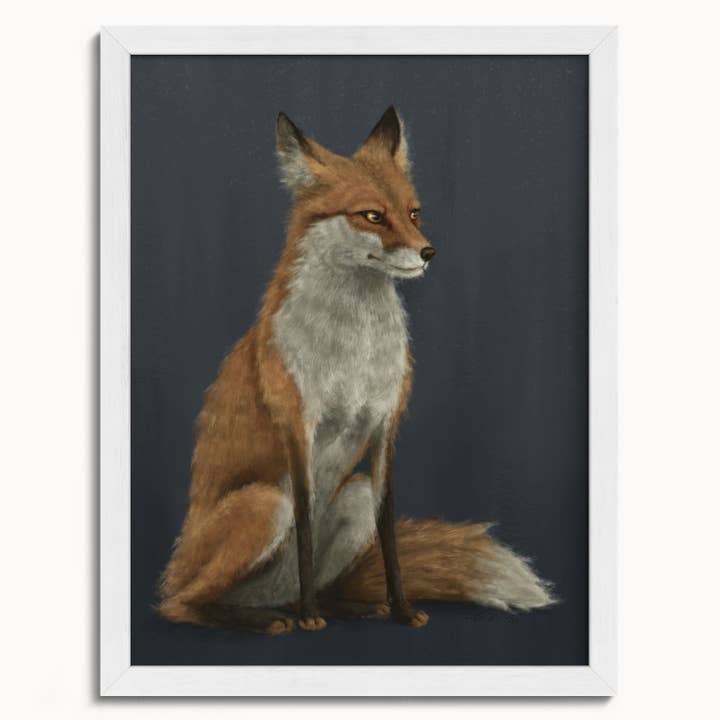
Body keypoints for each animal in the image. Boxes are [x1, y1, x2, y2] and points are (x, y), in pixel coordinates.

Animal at [157, 106, 555, 634]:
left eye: (413, 213)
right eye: (372, 215)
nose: (429, 252)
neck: (355, 349)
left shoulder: (385, 426)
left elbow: (389, 535)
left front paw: (401, 609)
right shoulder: (298, 426)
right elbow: (305, 526)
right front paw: (309, 620)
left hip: (354, 495)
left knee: (317, 583)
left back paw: (346, 606)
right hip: (264, 504)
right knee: (181, 604)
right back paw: (268, 617)